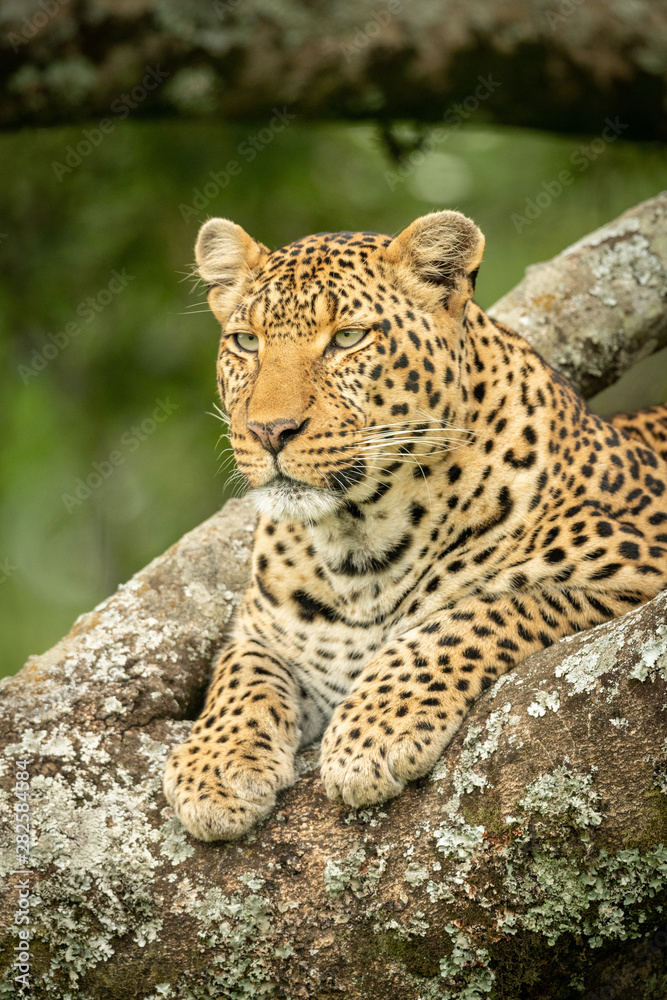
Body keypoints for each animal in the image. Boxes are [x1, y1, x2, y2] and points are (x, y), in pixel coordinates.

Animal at [164, 210, 667, 841]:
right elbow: (241, 673)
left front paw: (374, 730)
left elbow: (475, 613)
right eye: (246, 342)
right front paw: (214, 765)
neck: (357, 546)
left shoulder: (638, 569)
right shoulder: (262, 628)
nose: (269, 430)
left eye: (348, 338)